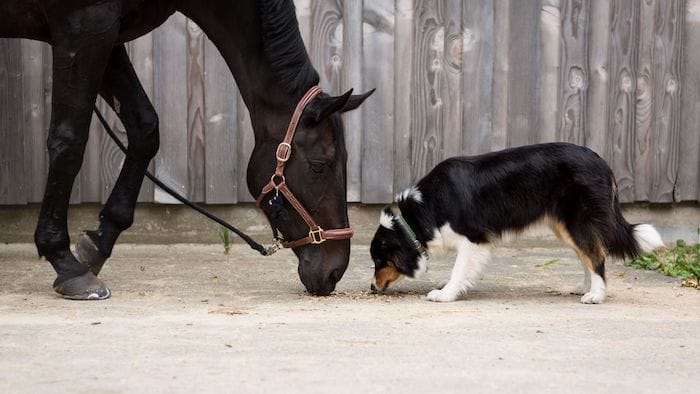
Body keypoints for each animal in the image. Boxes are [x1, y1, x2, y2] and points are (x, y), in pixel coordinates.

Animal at [0, 0, 374, 298]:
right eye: (319, 165)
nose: (334, 271)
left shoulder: (107, 32)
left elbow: (145, 128)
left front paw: (97, 245)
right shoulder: (84, 26)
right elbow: (69, 142)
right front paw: (66, 263)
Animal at [370, 143, 664, 304]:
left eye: (379, 261)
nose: (372, 288)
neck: (421, 211)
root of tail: (604, 164)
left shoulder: (473, 239)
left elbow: (459, 270)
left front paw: (445, 294)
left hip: (577, 222)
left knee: (596, 256)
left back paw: (596, 295)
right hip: (566, 227)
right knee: (589, 255)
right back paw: (586, 287)